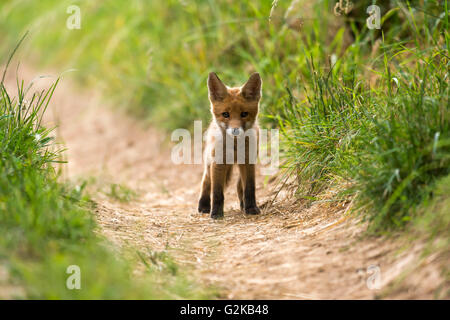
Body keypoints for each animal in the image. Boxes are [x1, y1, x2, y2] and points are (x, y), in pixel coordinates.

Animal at [199, 72, 262, 218]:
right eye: (225, 114)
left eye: (244, 114)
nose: (235, 131)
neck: (234, 148)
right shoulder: (218, 163)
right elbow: (217, 193)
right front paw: (216, 214)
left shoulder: (248, 162)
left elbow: (249, 188)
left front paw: (251, 208)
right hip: (209, 163)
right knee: (206, 182)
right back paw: (204, 206)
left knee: (239, 186)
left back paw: (243, 206)